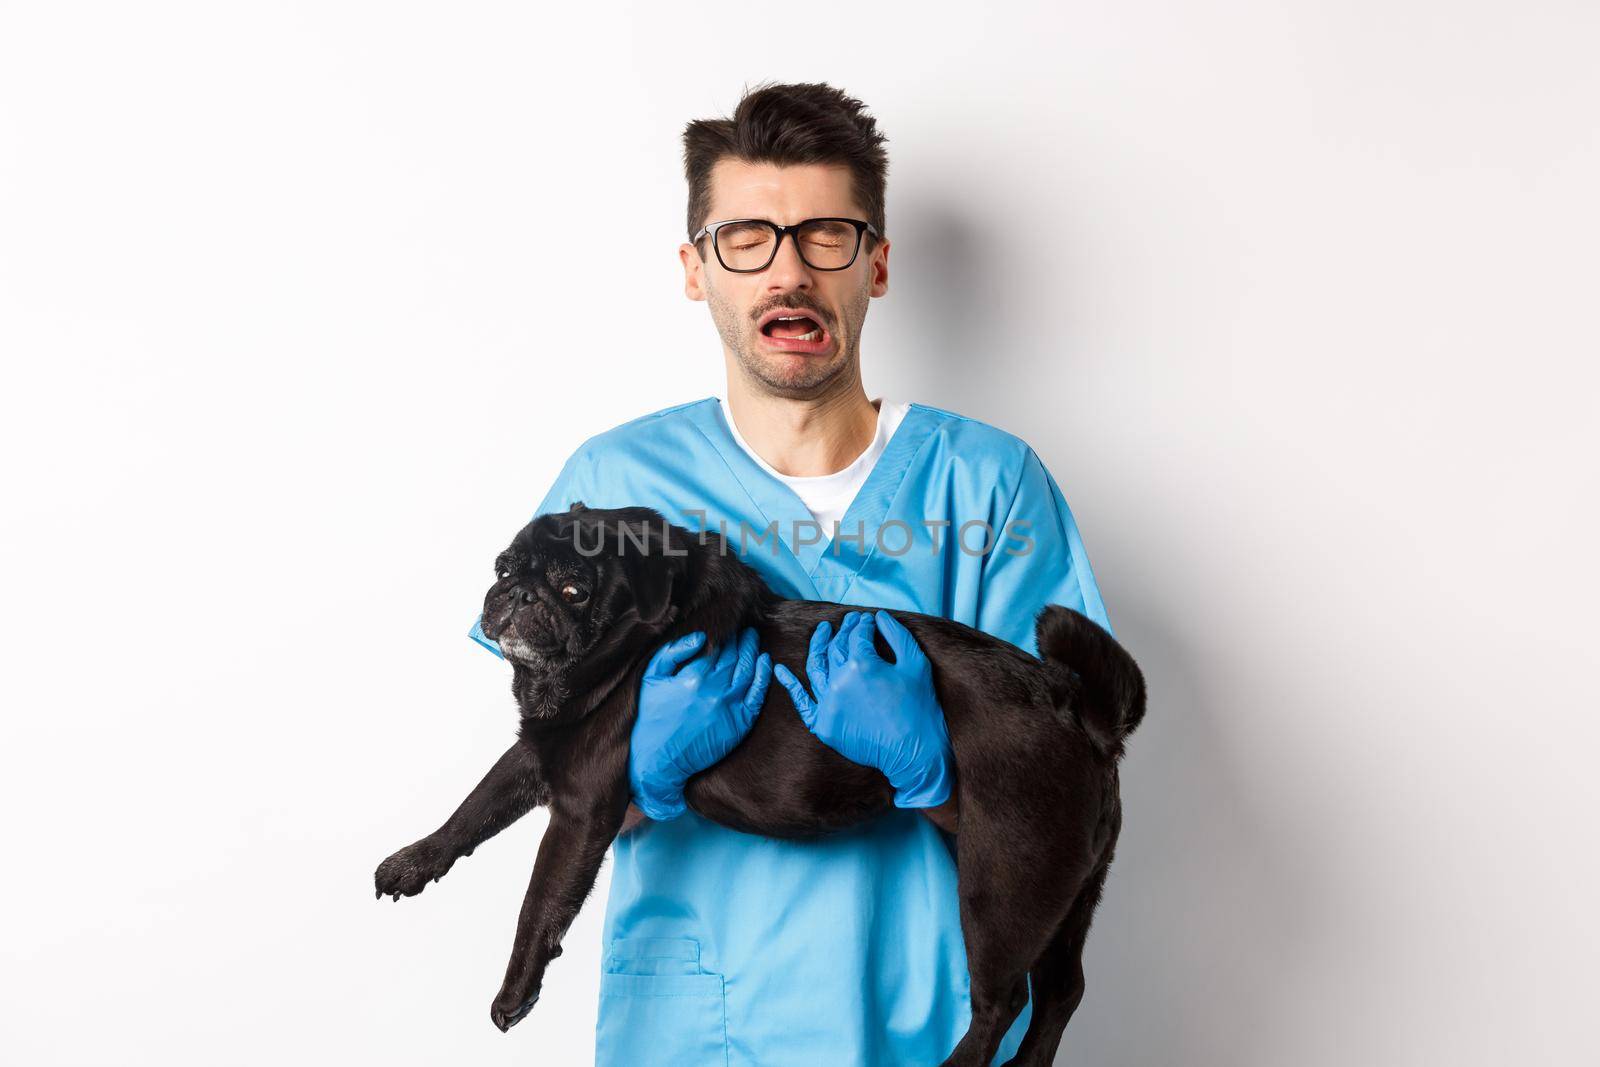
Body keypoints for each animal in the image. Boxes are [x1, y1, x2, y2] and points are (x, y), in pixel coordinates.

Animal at [374, 502, 1145, 1067]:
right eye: (505, 565)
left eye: (573, 590)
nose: (515, 592)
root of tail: (1079, 710)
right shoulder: (541, 752)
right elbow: (473, 808)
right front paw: (414, 863)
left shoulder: (582, 807)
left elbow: (538, 905)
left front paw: (515, 991)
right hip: (1067, 888)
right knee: (1061, 990)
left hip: (1004, 880)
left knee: (1003, 1000)